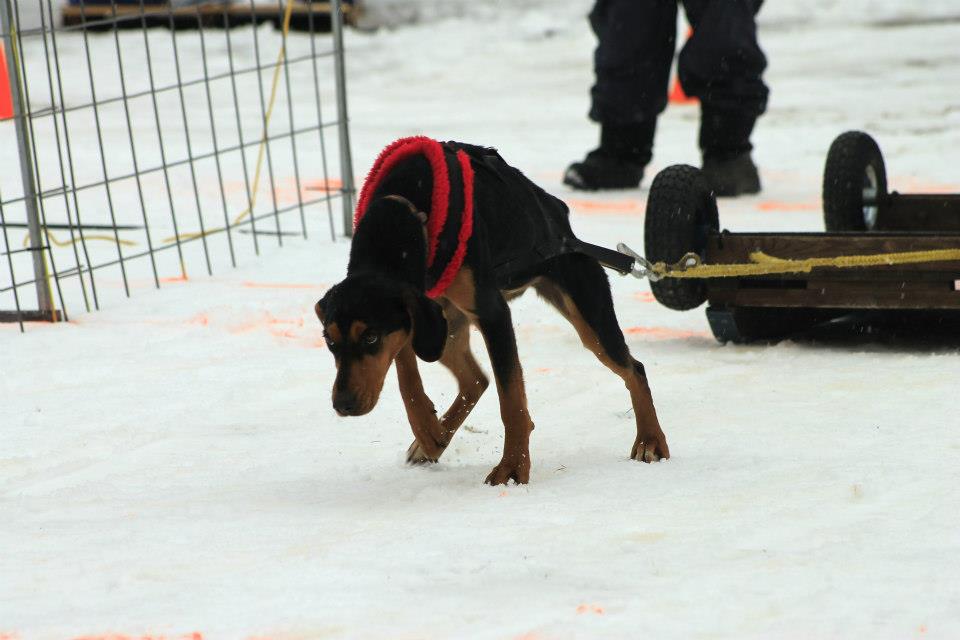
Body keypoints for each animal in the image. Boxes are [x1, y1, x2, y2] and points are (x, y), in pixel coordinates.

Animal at [316, 136, 668, 484]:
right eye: (330, 342)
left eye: (371, 337)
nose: (342, 404)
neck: (406, 208)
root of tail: (564, 227)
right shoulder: (415, 318)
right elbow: (407, 377)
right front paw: (427, 430)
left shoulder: (492, 315)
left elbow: (511, 401)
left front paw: (513, 467)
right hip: (446, 327)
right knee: (476, 379)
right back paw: (436, 436)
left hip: (589, 316)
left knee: (634, 369)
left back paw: (651, 440)